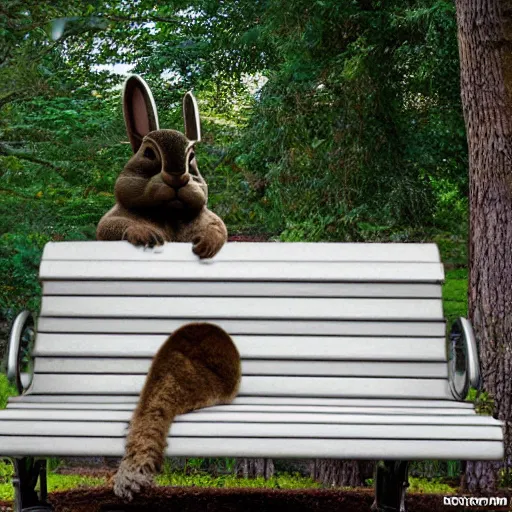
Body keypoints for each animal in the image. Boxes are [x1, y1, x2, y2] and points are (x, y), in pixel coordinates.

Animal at [97, 75, 227, 260]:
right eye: (148, 153)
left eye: (191, 158)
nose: (177, 177)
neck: (169, 215)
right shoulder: (110, 221)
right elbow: (113, 226)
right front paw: (145, 234)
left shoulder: (209, 219)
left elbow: (217, 228)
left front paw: (206, 245)